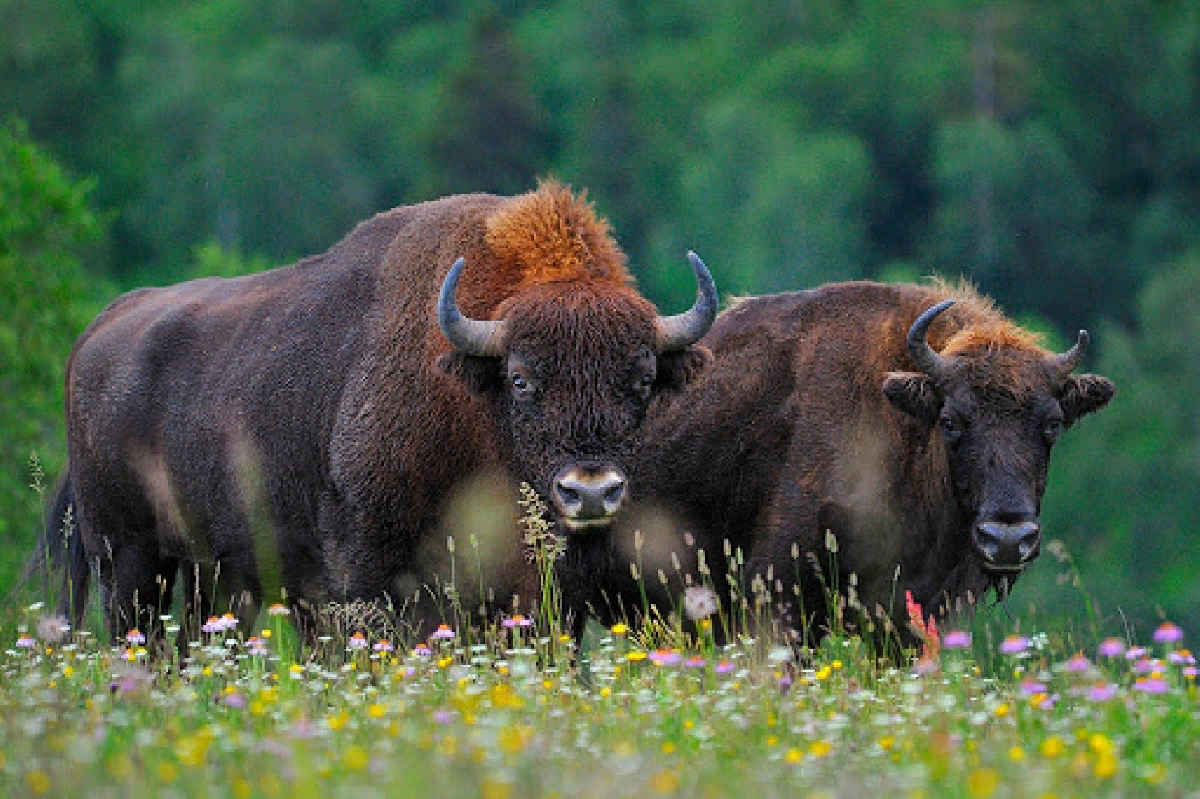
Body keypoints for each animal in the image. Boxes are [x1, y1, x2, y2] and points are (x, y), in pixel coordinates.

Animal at [42, 179, 715, 643]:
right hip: (128, 558)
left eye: (643, 380)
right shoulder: (366, 568)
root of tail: (97, 331)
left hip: (210, 573)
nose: (591, 491)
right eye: (521, 379)